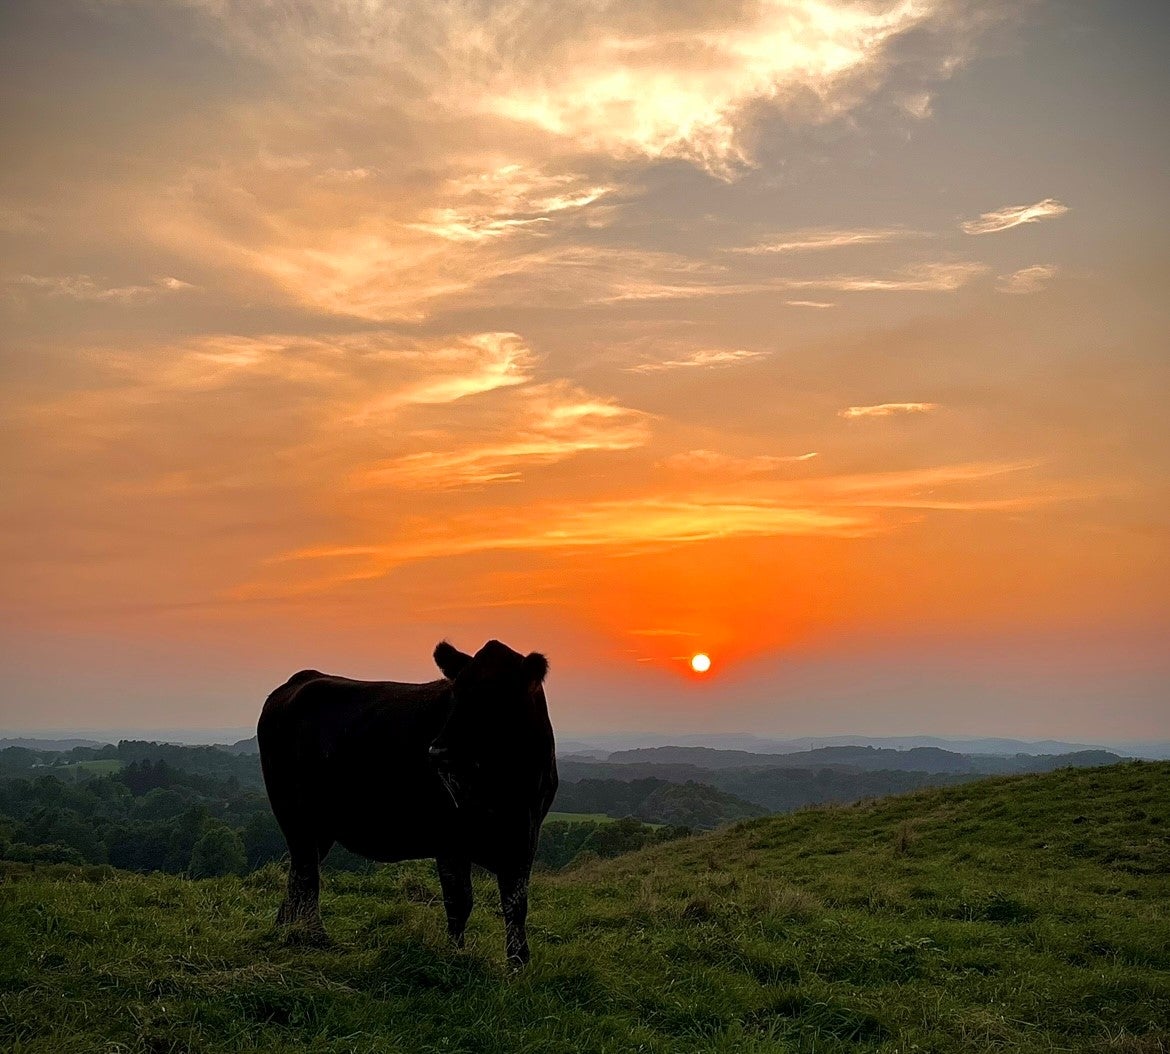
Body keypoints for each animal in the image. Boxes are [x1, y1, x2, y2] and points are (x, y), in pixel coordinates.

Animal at [258, 636, 559, 968]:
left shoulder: (525, 834)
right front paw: (454, 955)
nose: (439, 751)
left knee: (298, 873)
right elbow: (459, 901)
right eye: (456, 692)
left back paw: (287, 929)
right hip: (294, 814)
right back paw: (314, 936)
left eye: (492, 695)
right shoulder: (450, 837)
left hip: (320, 828)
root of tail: (300, 680)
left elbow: (516, 903)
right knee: (306, 873)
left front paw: (518, 962)